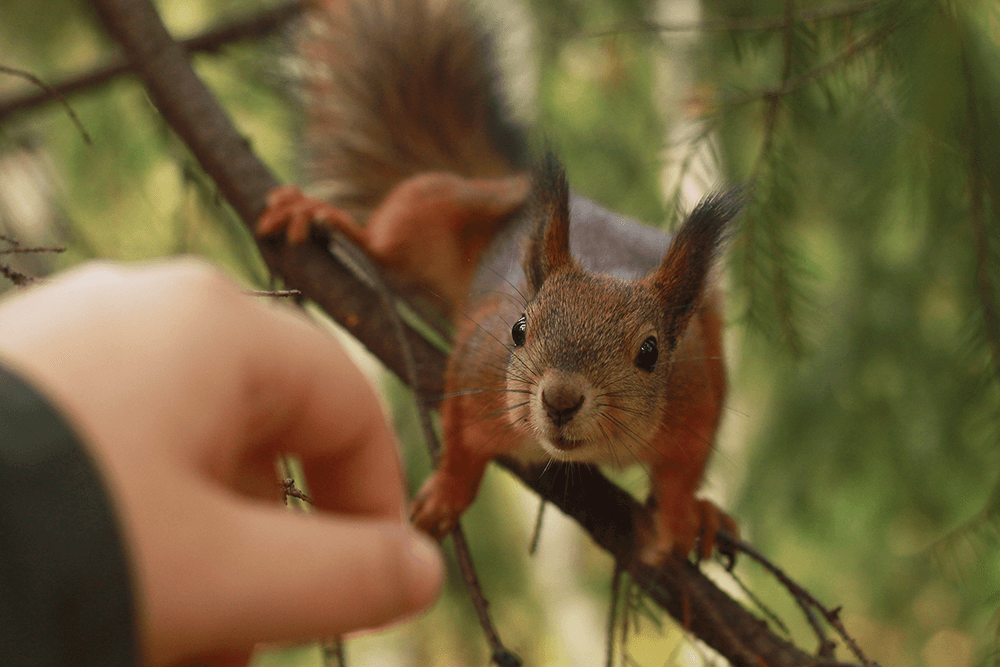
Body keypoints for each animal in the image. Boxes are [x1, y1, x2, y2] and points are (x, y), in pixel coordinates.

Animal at [257, 0, 743, 565]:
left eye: (650, 352)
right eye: (518, 329)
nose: (559, 400)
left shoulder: (694, 394)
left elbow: (685, 469)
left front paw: (682, 516)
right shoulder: (479, 364)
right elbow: (461, 439)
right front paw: (448, 492)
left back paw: (708, 516)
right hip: (434, 205)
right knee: (385, 242)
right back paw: (319, 215)